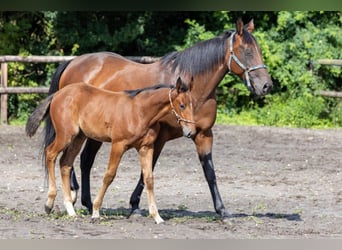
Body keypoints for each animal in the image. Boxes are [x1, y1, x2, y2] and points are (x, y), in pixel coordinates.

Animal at [25, 77, 196, 224]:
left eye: (193, 105)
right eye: (182, 105)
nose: (191, 132)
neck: (139, 112)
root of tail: (58, 94)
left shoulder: (146, 147)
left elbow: (148, 179)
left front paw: (157, 217)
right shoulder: (118, 145)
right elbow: (109, 176)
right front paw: (95, 212)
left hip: (79, 137)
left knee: (65, 163)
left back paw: (70, 210)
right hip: (66, 135)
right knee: (50, 154)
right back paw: (49, 203)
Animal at [44, 18, 272, 222]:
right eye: (247, 51)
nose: (266, 86)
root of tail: (72, 62)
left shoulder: (203, 135)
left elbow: (210, 173)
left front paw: (223, 211)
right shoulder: (159, 137)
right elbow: (148, 170)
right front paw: (135, 206)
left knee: (81, 160)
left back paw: (84, 201)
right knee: (74, 158)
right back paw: (77, 199)